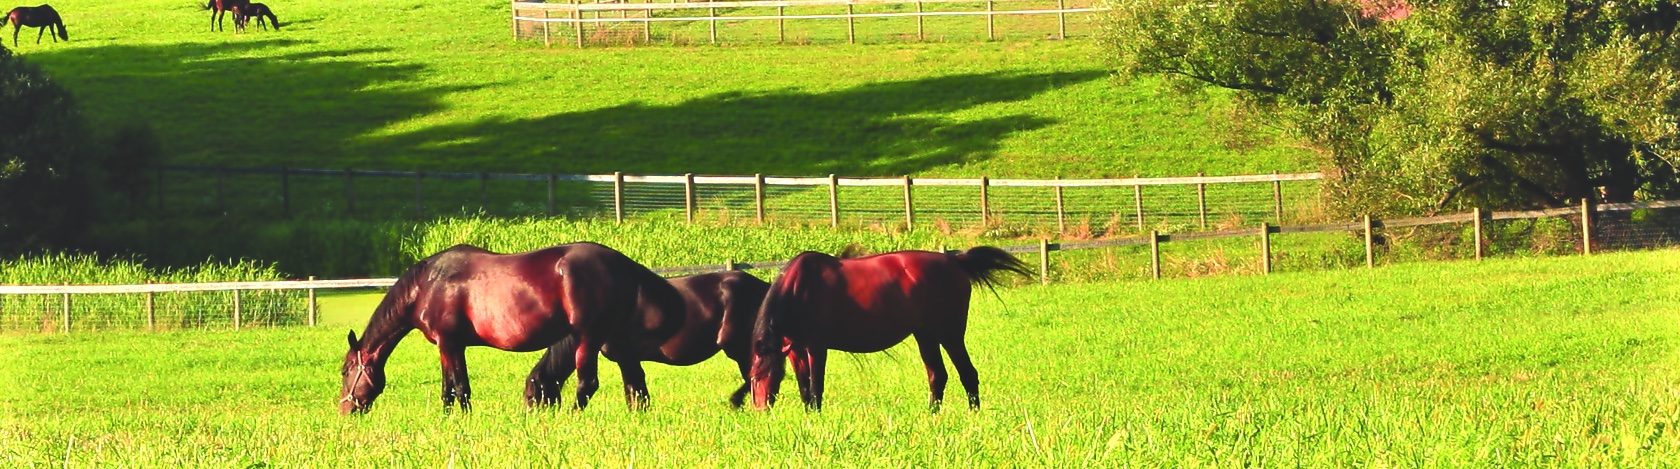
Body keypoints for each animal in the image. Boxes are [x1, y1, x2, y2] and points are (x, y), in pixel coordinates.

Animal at [338, 242, 687, 415]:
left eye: (345, 371)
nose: (345, 410)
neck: (428, 284)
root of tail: (624, 263)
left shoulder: (449, 343)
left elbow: (459, 388)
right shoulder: (450, 346)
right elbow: (449, 388)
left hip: (588, 337)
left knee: (587, 384)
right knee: (634, 384)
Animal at [524, 270, 771, 409]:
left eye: (530, 396)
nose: (531, 421)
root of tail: (765, 286)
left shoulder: (625, 356)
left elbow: (635, 392)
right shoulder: (628, 358)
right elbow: (636, 392)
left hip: (739, 347)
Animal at [748, 246, 1033, 412]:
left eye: (769, 375)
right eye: (752, 377)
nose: (760, 409)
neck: (800, 290)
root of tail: (955, 261)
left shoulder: (816, 347)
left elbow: (816, 385)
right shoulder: (795, 350)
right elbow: (805, 388)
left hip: (950, 334)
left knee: (968, 373)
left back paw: (973, 414)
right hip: (925, 335)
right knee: (937, 375)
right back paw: (932, 415)